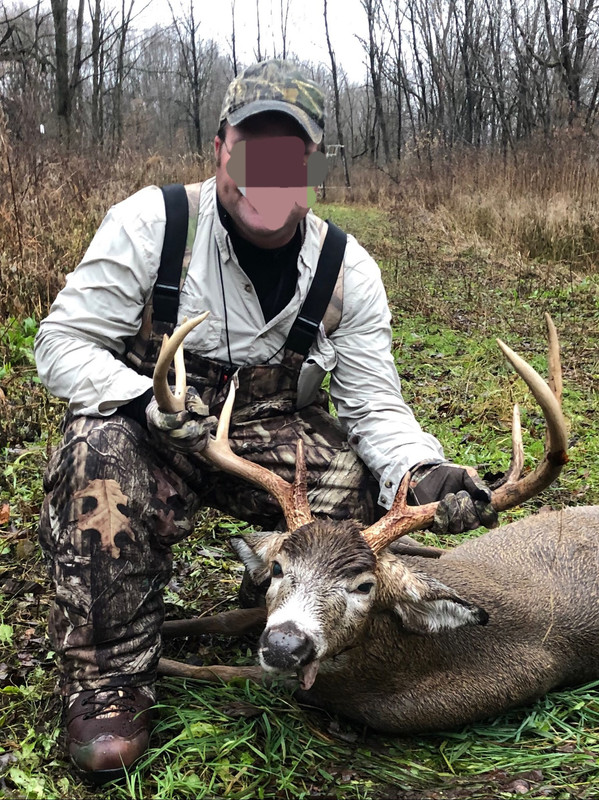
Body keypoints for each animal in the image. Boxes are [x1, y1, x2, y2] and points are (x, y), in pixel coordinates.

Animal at [150, 313, 599, 735]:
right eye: (277, 568)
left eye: (365, 586)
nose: (283, 644)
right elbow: (224, 619)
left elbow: (219, 671)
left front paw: (160, 665)